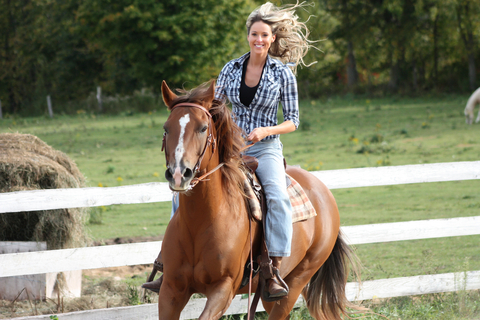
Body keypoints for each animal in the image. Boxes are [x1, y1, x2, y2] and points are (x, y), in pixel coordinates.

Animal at [158, 80, 360, 320]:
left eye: (203, 128)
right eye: (166, 128)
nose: (179, 174)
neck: (202, 221)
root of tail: (323, 192)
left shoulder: (223, 289)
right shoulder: (171, 289)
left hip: (297, 281)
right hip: (267, 295)